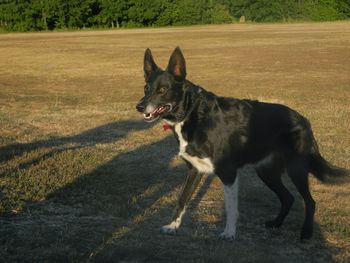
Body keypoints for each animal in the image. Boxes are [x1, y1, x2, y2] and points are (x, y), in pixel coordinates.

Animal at [135, 47, 346, 241]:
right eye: (146, 88)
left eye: (163, 90)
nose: (139, 106)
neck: (191, 113)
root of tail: (304, 120)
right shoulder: (195, 170)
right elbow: (182, 200)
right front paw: (173, 226)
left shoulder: (228, 172)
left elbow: (230, 207)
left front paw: (229, 233)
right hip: (266, 172)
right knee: (288, 197)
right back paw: (276, 223)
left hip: (297, 169)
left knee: (309, 201)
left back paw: (306, 233)